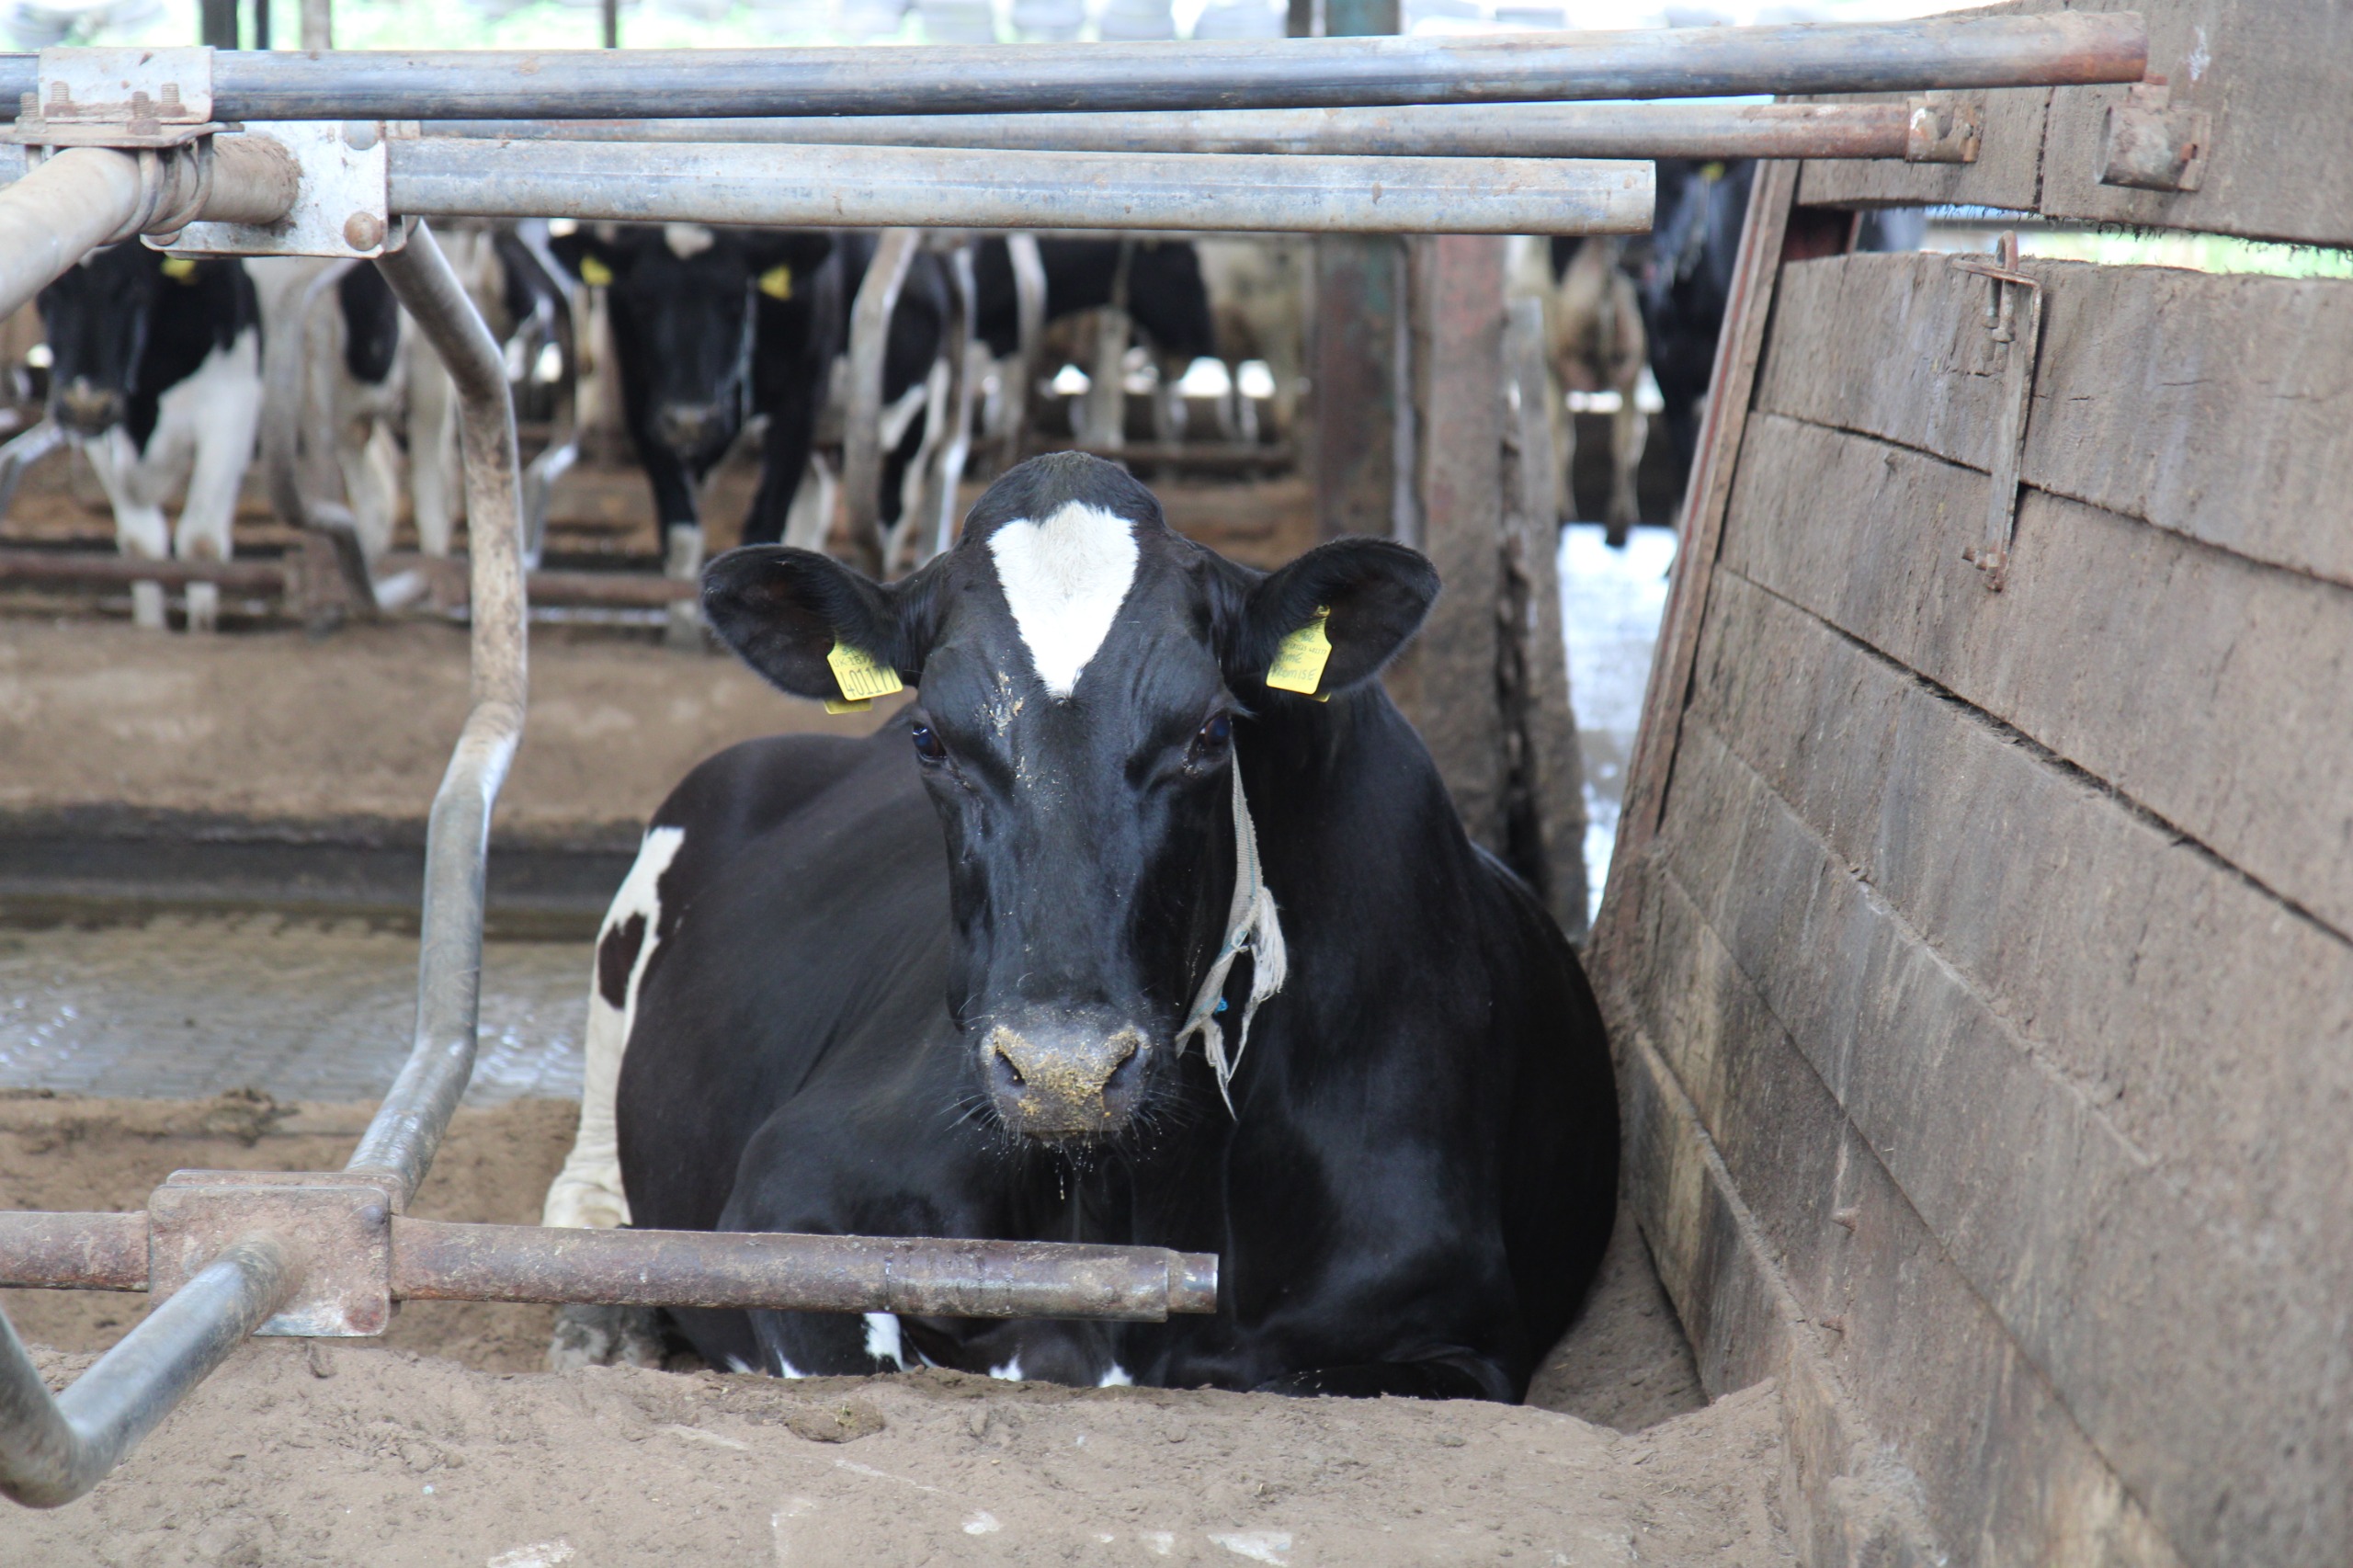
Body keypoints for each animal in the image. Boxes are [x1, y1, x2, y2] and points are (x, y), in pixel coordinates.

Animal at [36, 244, 264, 633]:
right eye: (50, 289)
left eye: (132, 286)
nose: (85, 403)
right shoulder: (101, 429)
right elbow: (141, 543)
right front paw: (151, 625)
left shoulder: (233, 402)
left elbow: (200, 540)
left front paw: (201, 632)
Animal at [541, 450, 1618, 1400]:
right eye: (930, 736)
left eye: (1209, 731)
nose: (1064, 1069)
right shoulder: (788, 1195)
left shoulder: (1458, 1334)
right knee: (587, 1187)